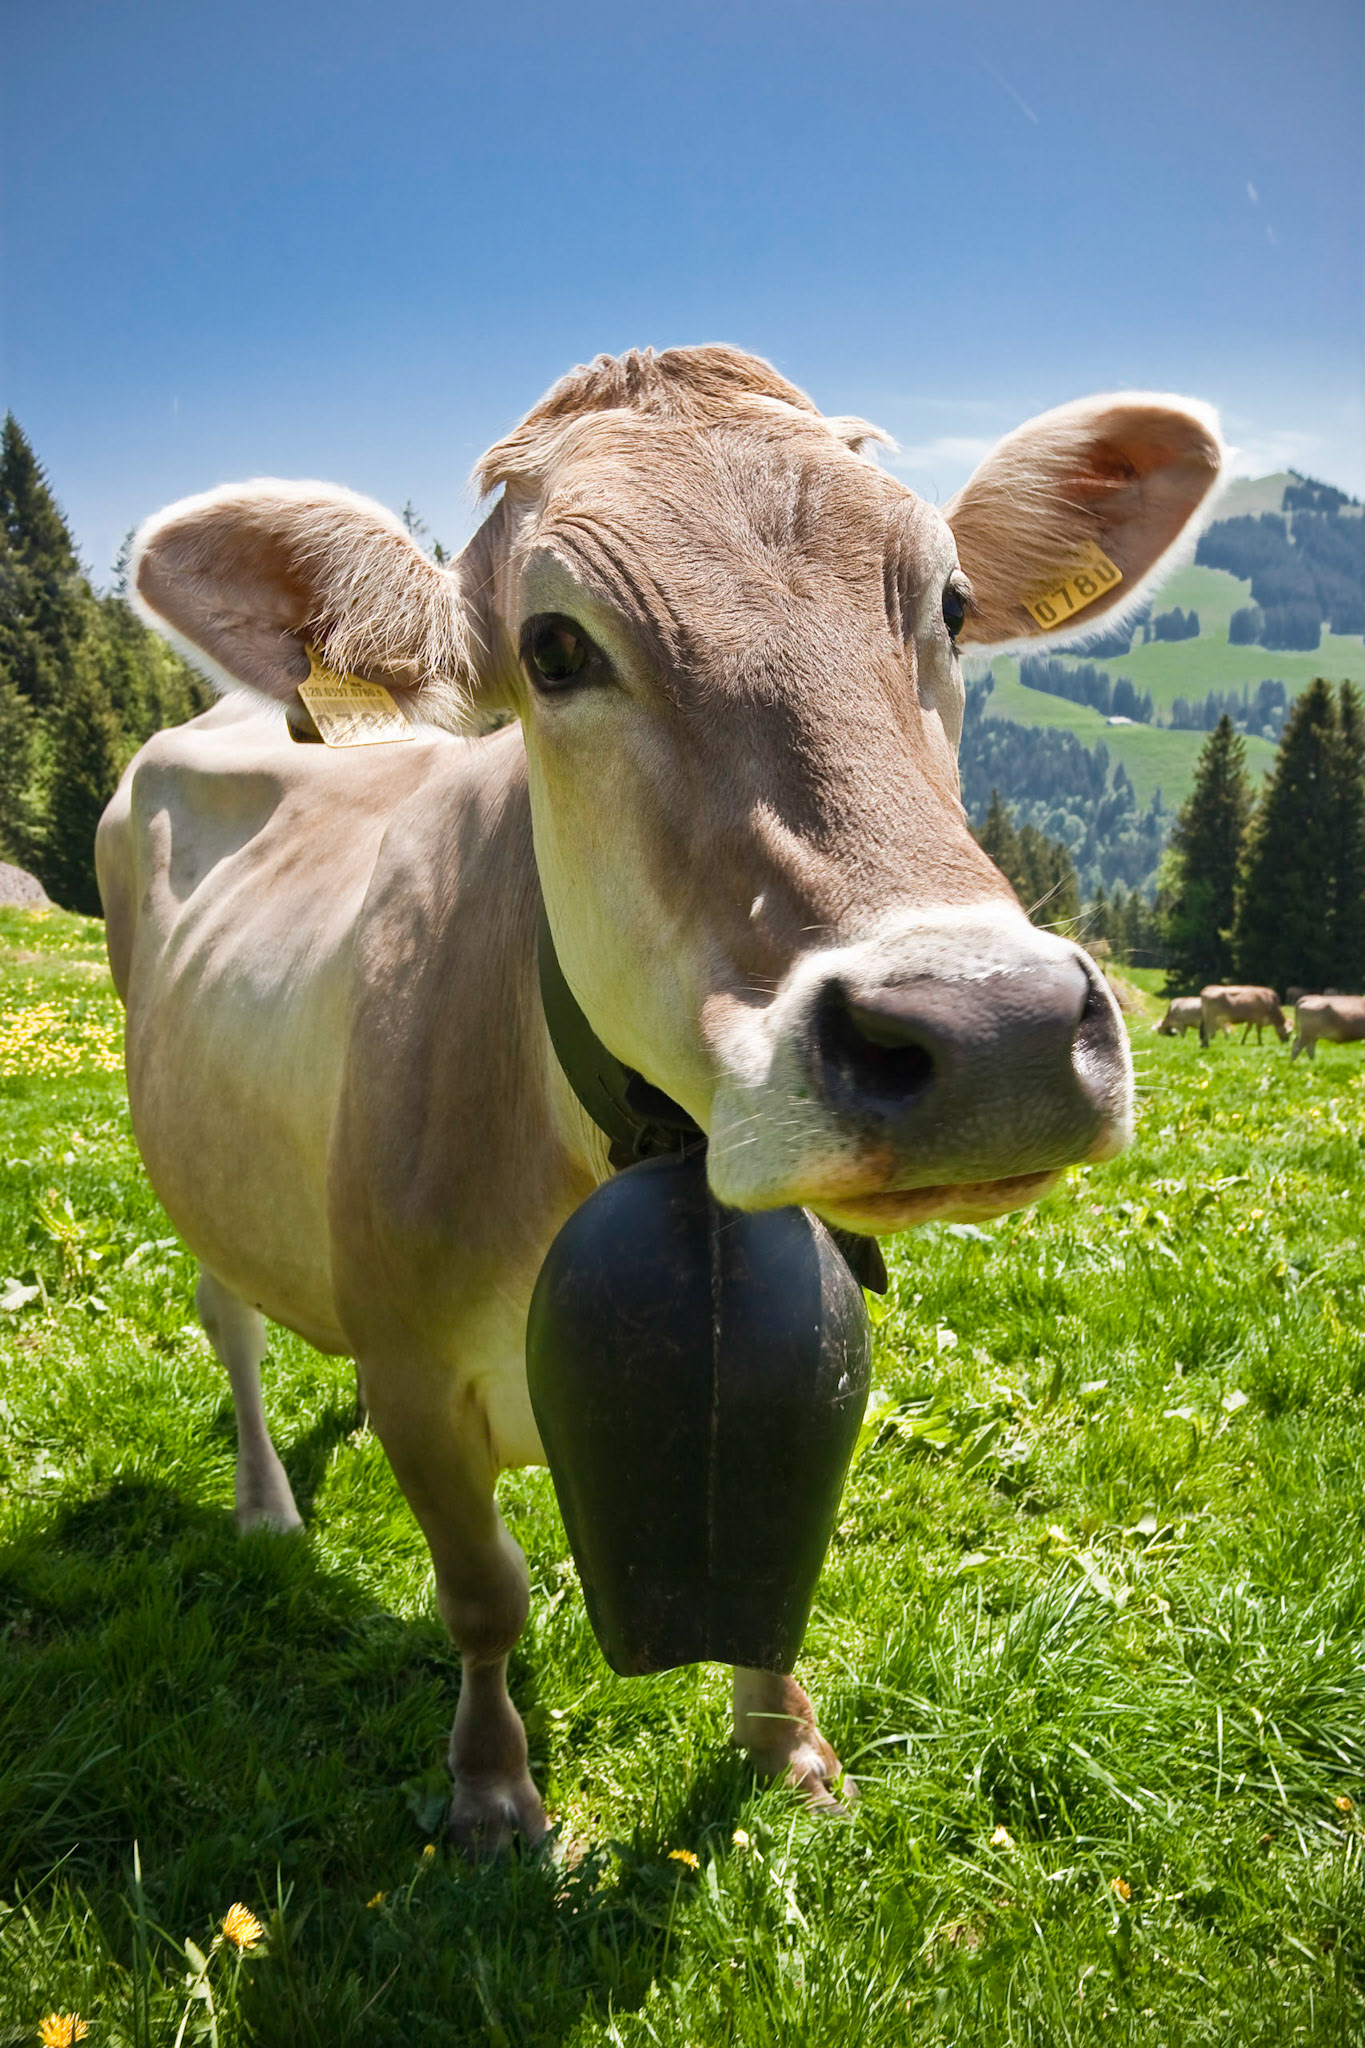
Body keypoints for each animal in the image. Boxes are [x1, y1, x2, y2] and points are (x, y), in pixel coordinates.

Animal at [98, 346, 1222, 1852]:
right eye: (555, 649)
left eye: (948, 602)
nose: (993, 1033)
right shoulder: (416, 1380)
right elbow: (485, 1592)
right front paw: (493, 1792)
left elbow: (775, 1567)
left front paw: (783, 1743)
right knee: (231, 1321)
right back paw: (268, 1506)